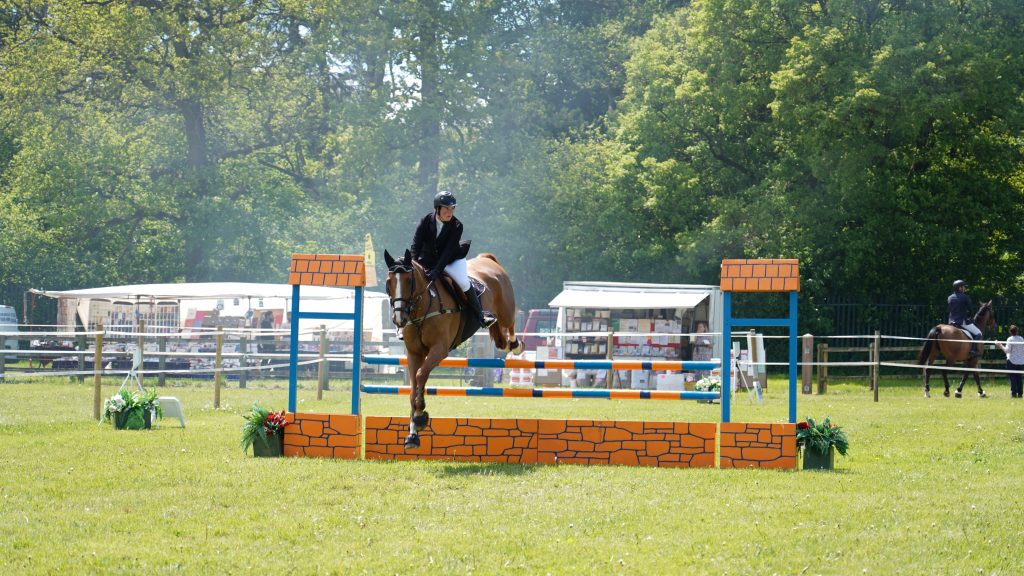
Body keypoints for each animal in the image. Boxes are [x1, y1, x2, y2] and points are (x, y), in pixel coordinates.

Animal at [383, 249, 524, 450]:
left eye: (409, 281)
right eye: (389, 282)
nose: (399, 319)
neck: (422, 308)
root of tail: (487, 259)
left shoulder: (439, 349)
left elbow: (420, 375)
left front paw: (420, 416)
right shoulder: (414, 354)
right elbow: (414, 387)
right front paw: (412, 435)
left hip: (506, 309)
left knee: (510, 323)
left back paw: (516, 345)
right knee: (499, 340)